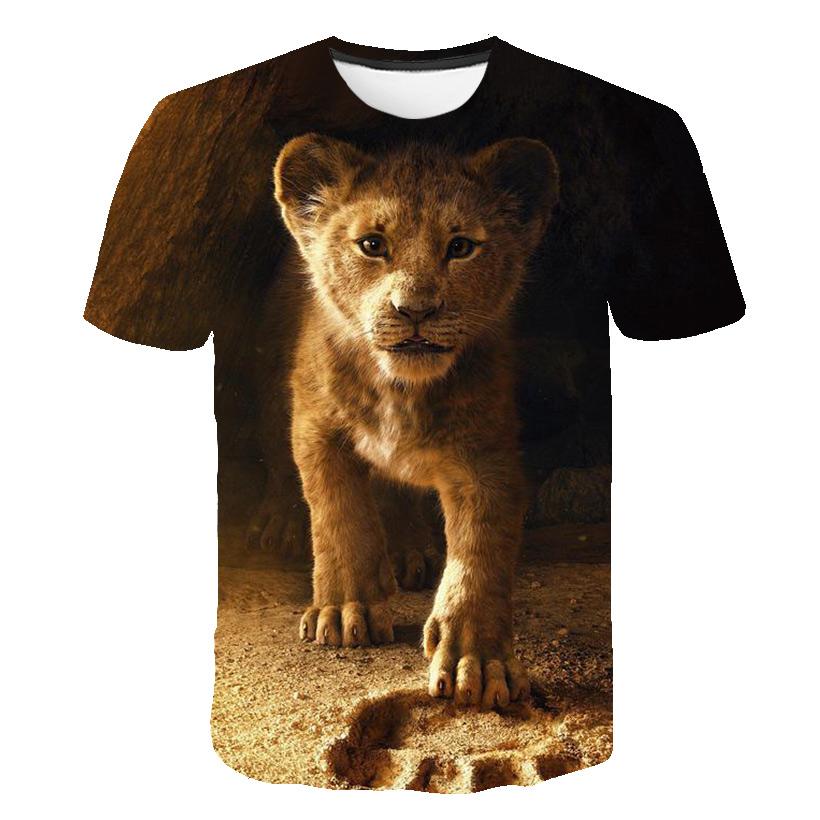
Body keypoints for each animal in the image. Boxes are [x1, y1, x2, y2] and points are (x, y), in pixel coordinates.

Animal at [270, 134, 559, 708]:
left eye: (461, 247)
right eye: (372, 245)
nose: (416, 310)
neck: (401, 390)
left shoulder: (487, 456)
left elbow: (480, 553)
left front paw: (478, 660)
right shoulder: (315, 426)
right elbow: (339, 515)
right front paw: (346, 610)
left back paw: (409, 552)